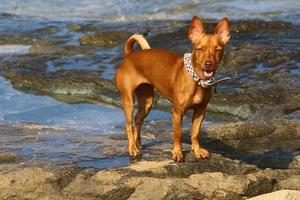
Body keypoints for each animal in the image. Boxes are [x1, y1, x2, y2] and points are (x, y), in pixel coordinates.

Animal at [114, 16, 230, 162]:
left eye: (217, 50)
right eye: (200, 49)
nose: (208, 64)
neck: (197, 80)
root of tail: (129, 55)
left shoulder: (200, 111)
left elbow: (195, 133)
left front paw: (197, 150)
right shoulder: (177, 112)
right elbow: (178, 134)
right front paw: (177, 153)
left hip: (147, 102)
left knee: (138, 119)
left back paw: (137, 143)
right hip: (128, 101)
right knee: (129, 125)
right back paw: (132, 148)